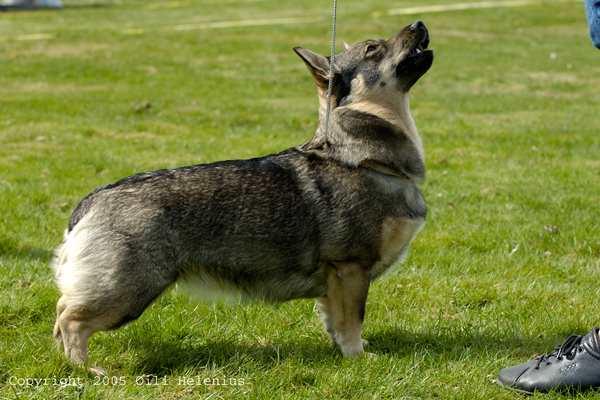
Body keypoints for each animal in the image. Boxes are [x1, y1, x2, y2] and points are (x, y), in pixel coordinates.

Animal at [51, 19, 434, 376]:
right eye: (373, 48)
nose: (418, 24)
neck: (362, 159)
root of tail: (91, 202)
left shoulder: (334, 282)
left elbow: (335, 323)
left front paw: (346, 351)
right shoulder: (350, 270)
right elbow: (352, 320)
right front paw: (358, 358)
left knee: (61, 313)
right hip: (128, 291)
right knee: (71, 319)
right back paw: (85, 369)